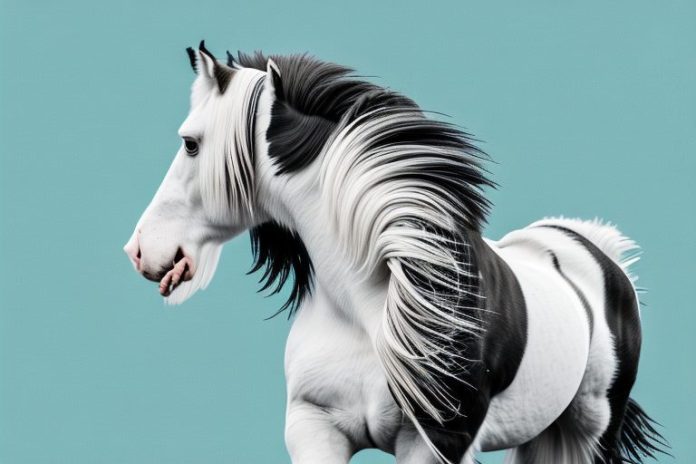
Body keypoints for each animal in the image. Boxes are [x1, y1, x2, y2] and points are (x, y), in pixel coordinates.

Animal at [123, 42, 667, 464]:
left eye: (190, 144)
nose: (138, 249)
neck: (369, 304)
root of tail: (595, 248)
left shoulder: (437, 441)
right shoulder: (313, 426)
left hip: (594, 430)